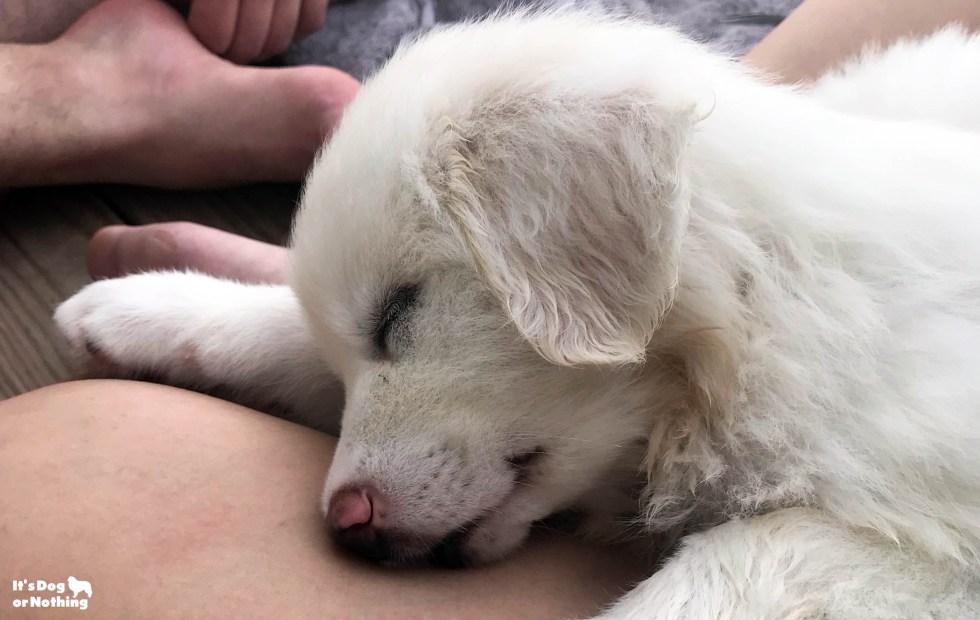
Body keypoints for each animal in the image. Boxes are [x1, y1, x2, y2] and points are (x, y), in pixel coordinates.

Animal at [55, 10, 980, 620]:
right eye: (355, 350)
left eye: (398, 312)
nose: (346, 524)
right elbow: (284, 333)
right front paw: (141, 306)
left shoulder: (921, 541)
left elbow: (742, 564)